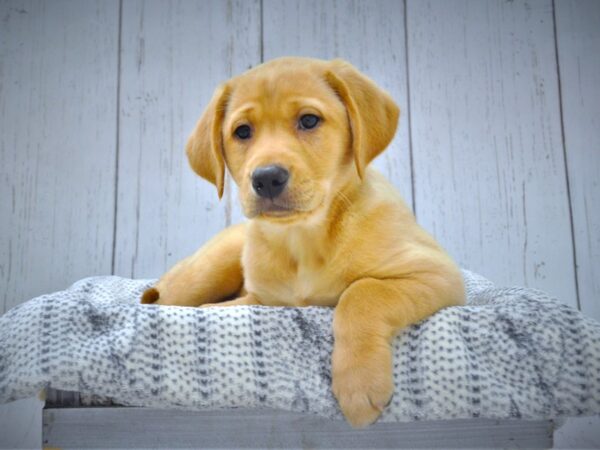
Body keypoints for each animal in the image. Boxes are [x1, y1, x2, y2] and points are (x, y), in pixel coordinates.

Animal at [143, 58, 466, 428]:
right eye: (242, 131)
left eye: (309, 120)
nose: (267, 177)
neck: (304, 240)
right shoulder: (264, 299)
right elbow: (236, 304)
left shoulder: (436, 273)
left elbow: (362, 292)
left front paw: (359, 383)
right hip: (205, 271)